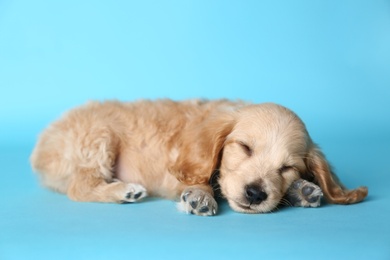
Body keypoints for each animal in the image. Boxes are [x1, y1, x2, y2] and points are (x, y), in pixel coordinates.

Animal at [31, 99, 368, 215]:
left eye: (287, 168)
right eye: (245, 148)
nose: (255, 194)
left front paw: (302, 189)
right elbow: (201, 177)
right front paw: (201, 195)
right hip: (98, 137)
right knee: (79, 187)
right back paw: (124, 190)